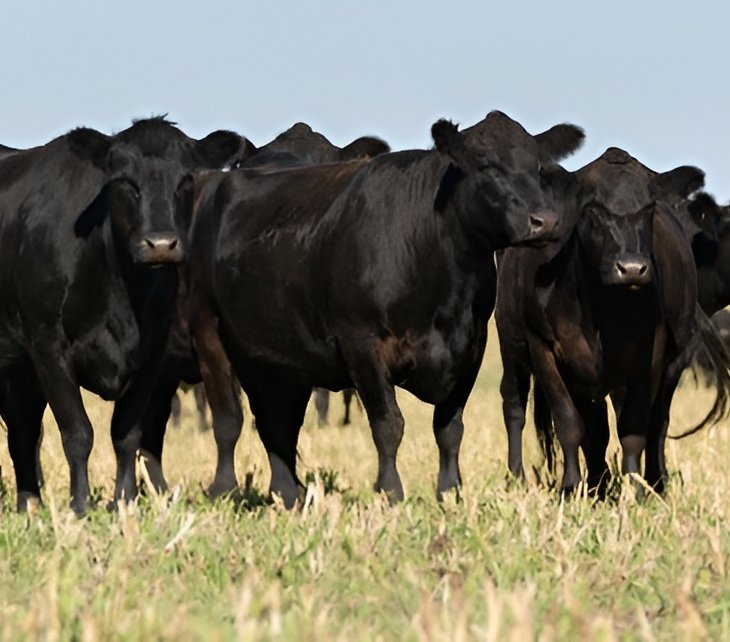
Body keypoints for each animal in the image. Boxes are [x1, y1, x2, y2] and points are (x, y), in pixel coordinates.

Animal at [0, 117, 249, 513]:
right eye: (125, 182)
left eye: (186, 180)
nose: (160, 244)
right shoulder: (47, 346)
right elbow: (78, 433)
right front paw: (80, 505)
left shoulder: (150, 355)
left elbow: (127, 433)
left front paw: (124, 500)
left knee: (22, 430)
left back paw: (28, 503)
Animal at [185, 110, 585, 507]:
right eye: (486, 165)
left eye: (538, 167)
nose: (545, 221)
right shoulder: (362, 343)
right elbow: (389, 424)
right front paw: (390, 491)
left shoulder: (471, 347)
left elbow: (449, 427)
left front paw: (450, 491)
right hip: (208, 328)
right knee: (228, 419)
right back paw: (224, 488)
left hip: (276, 355)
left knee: (278, 423)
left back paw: (287, 493)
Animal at [496, 147, 730, 496]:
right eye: (592, 210)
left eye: (649, 209)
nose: (632, 268)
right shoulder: (543, 348)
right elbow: (568, 422)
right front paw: (570, 488)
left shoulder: (653, 354)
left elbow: (633, 426)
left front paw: (637, 489)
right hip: (510, 342)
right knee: (514, 405)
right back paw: (517, 479)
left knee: (632, 424)